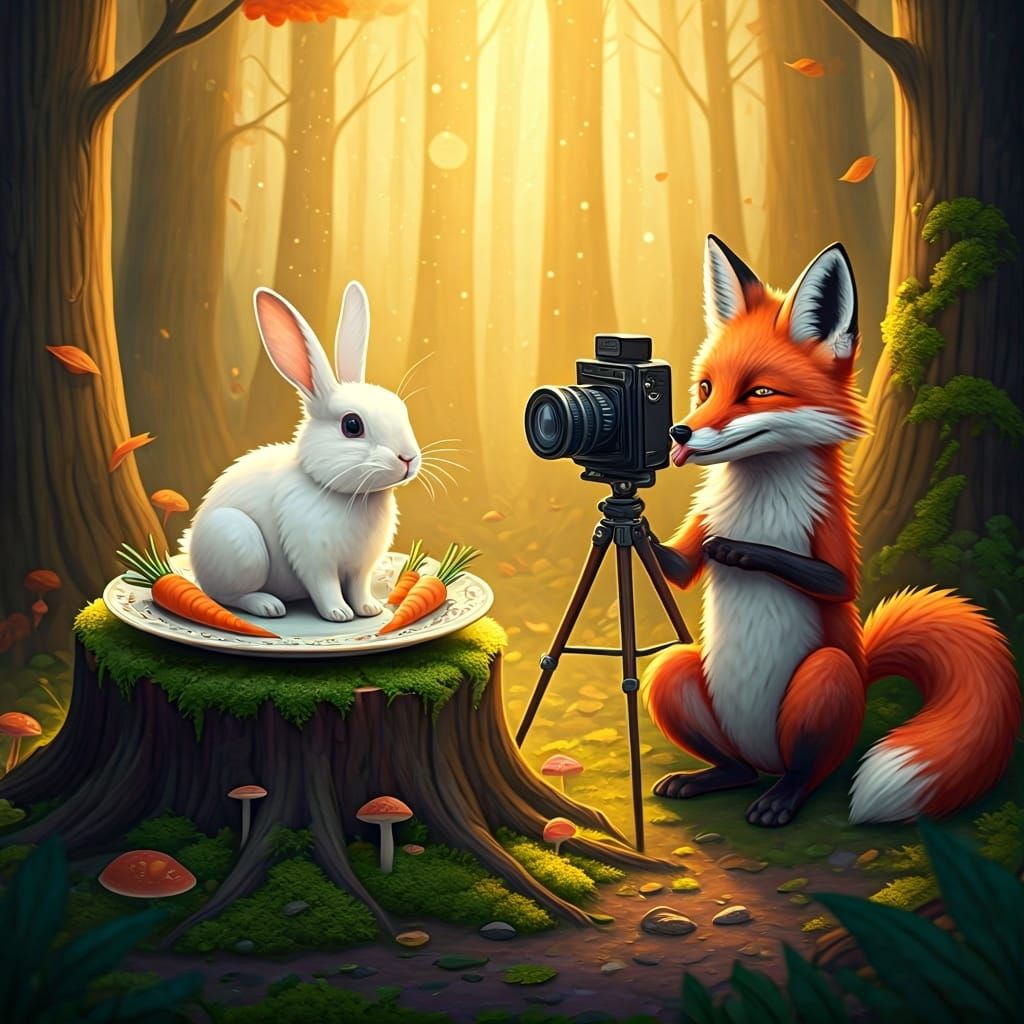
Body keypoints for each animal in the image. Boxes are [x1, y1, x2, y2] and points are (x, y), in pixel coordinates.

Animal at [186, 282, 421, 623]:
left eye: (400, 408)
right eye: (352, 425)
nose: (408, 458)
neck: (344, 494)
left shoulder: (361, 566)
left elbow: (359, 587)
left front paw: (369, 609)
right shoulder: (313, 558)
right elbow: (325, 588)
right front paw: (339, 614)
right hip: (239, 543)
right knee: (227, 596)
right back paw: (268, 606)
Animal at [642, 234, 1020, 827]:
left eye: (759, 392)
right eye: (705, 387)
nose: (679, 432)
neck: (759, 494)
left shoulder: (832, 537)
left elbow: (831, 579)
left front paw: (736, 549)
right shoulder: (697, 523)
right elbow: (676, 566)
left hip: (826, 676)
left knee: (808, 771)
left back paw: (781, 800)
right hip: (672, 672)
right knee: (735, 766)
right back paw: (709, 776)